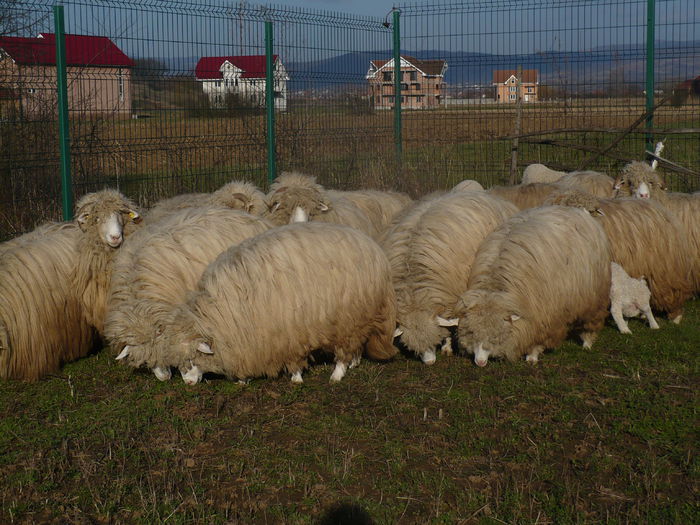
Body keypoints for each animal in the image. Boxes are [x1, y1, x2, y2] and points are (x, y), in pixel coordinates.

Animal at [117, 219, 396, 382]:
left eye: (192, 358)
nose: (187, 383)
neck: (220, 314)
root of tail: (371, 245)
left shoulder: (287, 330)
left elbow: (293, 359)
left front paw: (295, 378)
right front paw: (243, 379)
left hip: (351, 313)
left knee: (346, 347)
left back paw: (337, 374)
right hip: (355, 316)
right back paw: (354, 363)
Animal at [452, 203, 608, 366]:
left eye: (497, 335)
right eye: (471, 332)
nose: (480, 362)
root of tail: (577, 210)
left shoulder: (542, 316)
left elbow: (537, 340)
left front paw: (532, 356)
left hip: (596, 297)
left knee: (591, 322)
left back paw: (587, 343)